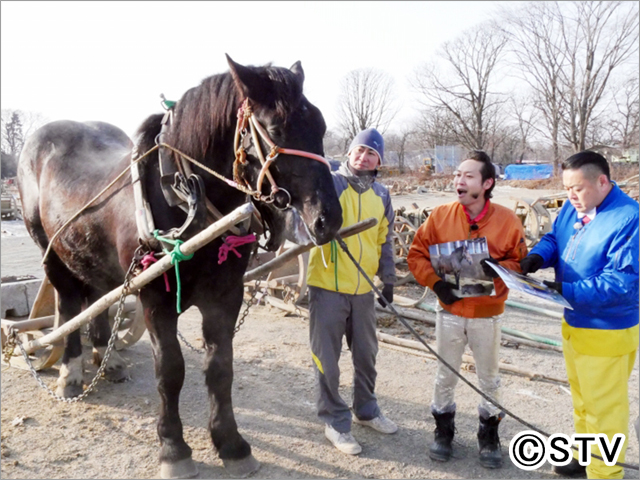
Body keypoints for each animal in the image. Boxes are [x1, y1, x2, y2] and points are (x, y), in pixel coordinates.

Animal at [17, 55, 342, 476]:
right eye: (275, 129)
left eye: (319, 125)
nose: (327, 219)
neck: (184, 203)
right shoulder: (156, 300)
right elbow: (170, 372)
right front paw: (173, 448)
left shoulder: (225, 295)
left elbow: (220, 369)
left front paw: (231, 443)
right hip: (51, 251)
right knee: (70, 303)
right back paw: (71, 369)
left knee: (100, 298)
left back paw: (107, 355)